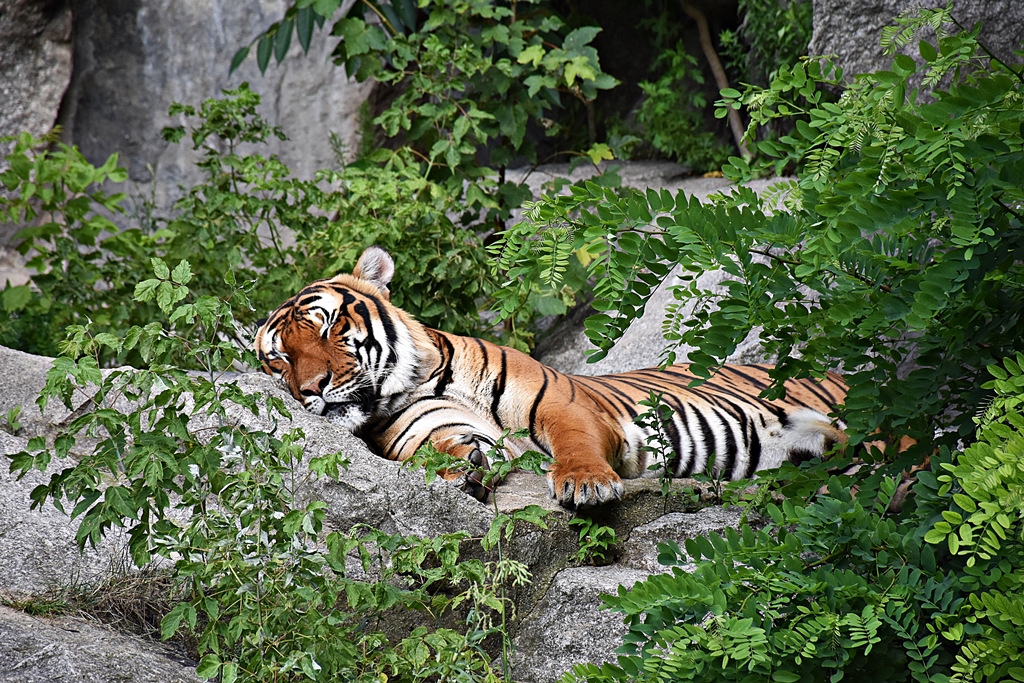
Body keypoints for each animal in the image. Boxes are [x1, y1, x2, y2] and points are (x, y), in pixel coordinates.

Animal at [255, 246, 850, 509]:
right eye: (279, 359)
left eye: (328, 326)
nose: (310, 390)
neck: (419, 380)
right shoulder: (427, 427)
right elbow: (445, 447)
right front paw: (459, 471)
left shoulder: (562, 404)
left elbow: (573, 440)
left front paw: (584, 483)